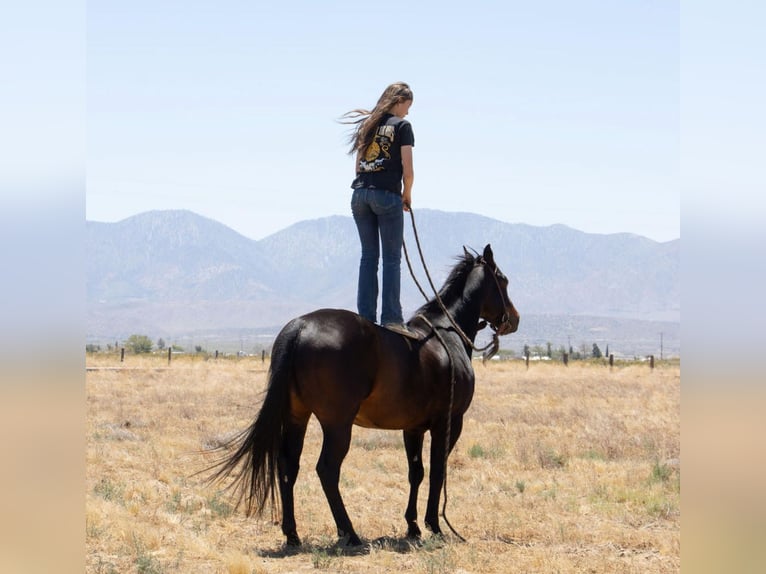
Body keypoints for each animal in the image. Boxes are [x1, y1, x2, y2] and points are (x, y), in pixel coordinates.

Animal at [205, 243, 519, 547]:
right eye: (503, 280)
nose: (514, 319)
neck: (446, 335)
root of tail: (300, 327)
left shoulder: (413, 428)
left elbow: (416, 472)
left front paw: (413, 526)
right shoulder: (449, 423)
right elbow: (437, 471)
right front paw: (434, 525)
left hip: (297, 417)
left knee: (288, 466)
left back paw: (293, 534)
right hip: (337, 425)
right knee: (327, 470)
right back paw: (349, 533)